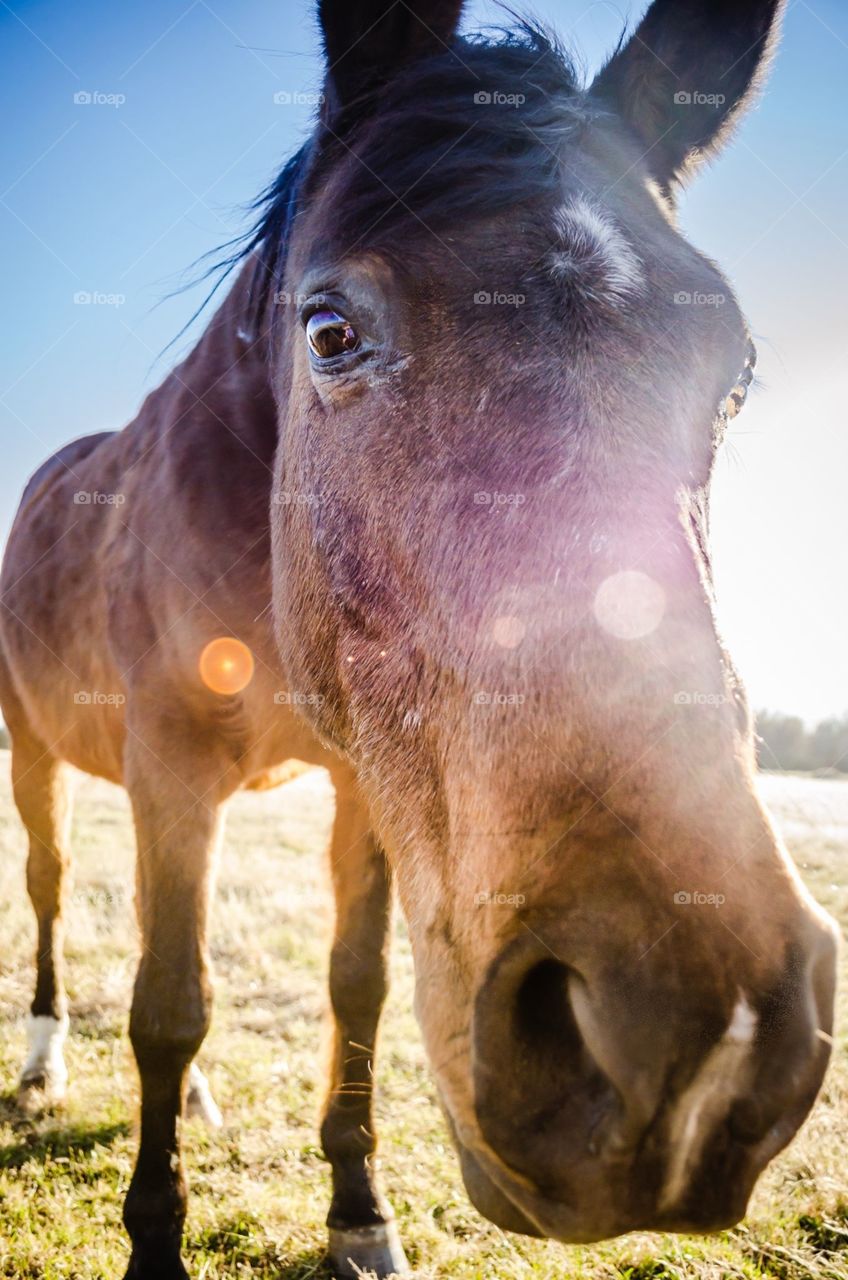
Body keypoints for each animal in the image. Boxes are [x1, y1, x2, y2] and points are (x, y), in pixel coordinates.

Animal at [0, 2, 840, 1280]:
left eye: (733, 374)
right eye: (328, 330)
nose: (692, 1044)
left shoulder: (362, 782)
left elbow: (355, 986)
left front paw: (359, 1209)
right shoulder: (170, 768)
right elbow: (167, 1005)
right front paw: (156, 1236)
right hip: (36, 750)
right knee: (51, 887)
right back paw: (45, 1059)